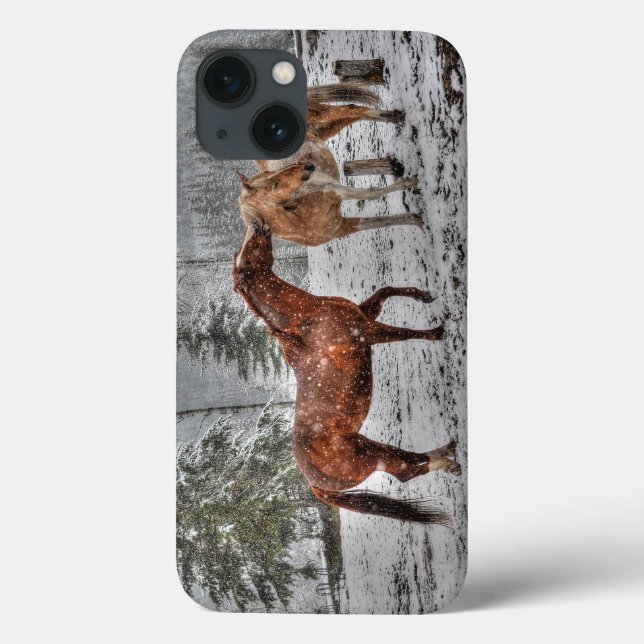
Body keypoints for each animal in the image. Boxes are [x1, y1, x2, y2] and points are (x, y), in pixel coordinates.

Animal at [233, 225, 461, 524]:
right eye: (247, 254)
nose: (259, 226)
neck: (306, 321)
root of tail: (314, 484)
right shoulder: (366, 332)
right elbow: (404, 333)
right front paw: (438, 331)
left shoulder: (364, 314)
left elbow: (384, 290)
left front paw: (423, 295)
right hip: (371, 456)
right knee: (407, 471)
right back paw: (449, 460)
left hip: (371, 448)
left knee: (406, 463)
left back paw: (449, 452)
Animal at [237, 82, 422, 247]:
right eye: (274, 183)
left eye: (270, 178)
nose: (308, 166)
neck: (301, 219)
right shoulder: (341, 226)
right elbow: (379, 219)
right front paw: (417, 220)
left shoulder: (335, 190)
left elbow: (373, 194)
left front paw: (410, 182)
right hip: (325, 128)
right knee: (356, 113)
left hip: (321, 114)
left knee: (353, 109)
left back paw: (398, 118)